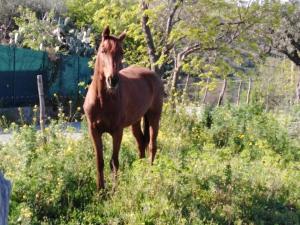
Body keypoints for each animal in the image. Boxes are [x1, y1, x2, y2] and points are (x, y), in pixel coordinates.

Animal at [83, 26, 164, 190]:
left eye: (121, 52)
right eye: (103, 50)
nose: (112, 80)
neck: (103, 100)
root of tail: (153, 75)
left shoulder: (117, 132)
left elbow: (114, 162)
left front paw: (114, 190)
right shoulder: (94, 130)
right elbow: (99, 161)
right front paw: (100, 190)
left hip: (154, 117)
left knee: (152, 145)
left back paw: (149, 174)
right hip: (136, 121)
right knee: (141, 143)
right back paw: (140, 172)